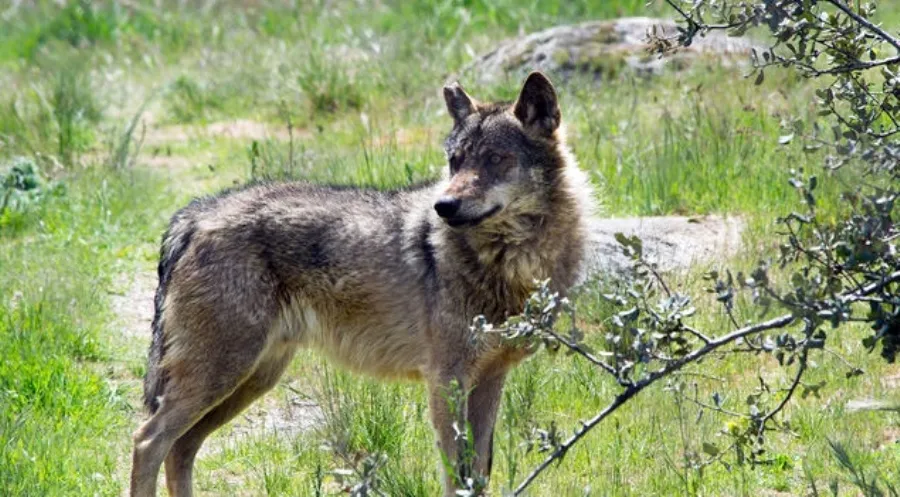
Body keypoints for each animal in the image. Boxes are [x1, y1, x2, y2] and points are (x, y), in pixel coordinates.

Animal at [129, 71, 594, 496]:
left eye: (496, 158)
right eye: (456, 161)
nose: (443, 206)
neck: (508, 264)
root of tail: (195, 215)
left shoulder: (491, 377)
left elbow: (477, 475)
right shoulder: (446, 379)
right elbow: (454, 476)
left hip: (252, 378)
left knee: (180, 446)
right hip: (225, 373)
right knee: (148, 440)